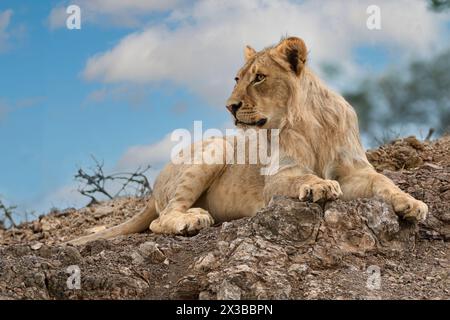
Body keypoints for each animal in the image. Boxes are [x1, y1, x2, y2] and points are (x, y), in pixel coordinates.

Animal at [67, 35, 428, 245]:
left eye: (259, 78)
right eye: (237, 78)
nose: (230, 106)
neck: (308, 121)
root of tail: (154, 185)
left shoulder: (355, 171)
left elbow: (383, 182)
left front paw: (411, 203)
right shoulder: (278, 179)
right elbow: (304, 177)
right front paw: (321, 186)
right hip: (217, 148)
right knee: (162, 218)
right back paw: (193, 219)